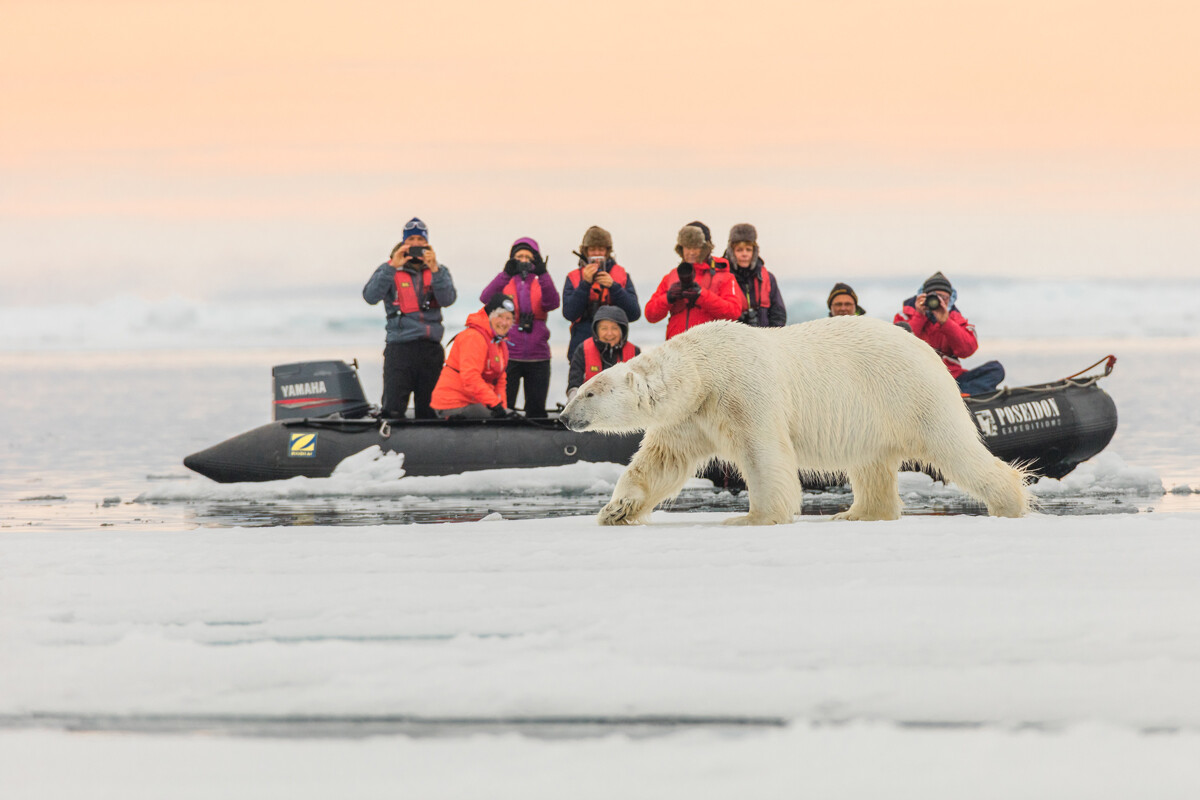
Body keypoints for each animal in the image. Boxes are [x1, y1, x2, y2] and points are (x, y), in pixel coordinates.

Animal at [556, 311, 1027, 525]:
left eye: (590, 391)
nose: (563, 417)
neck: (702, 368)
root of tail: (931, 354)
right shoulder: (692, 415)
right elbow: (659, 462)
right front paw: (616, 510)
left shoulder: (743, 391)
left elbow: (765, 454)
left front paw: (751, 517)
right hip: (873, 416)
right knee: (871, 464)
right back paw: (856, 514)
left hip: (910, 394)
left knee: (955, 449)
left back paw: (1009, 503)